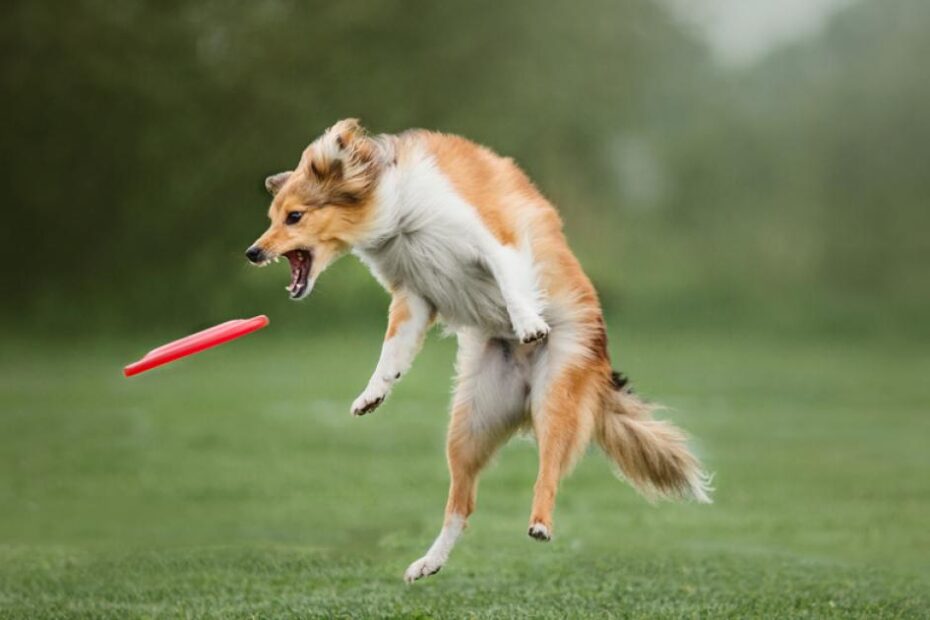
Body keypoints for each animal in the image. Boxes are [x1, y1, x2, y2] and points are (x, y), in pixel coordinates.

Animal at [246, 118, 712, 584]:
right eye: (272, 217)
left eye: (295, 216)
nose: (252, 253)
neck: (398, 214)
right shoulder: (413, 296)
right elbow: (392, 349)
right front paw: (373, 392)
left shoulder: (492, 240)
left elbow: (510, 280)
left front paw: (527, 323)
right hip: (469, 425)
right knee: (462, 504)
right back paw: (429, 562)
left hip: (556, 396)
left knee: (549, 470)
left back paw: (540, 522)